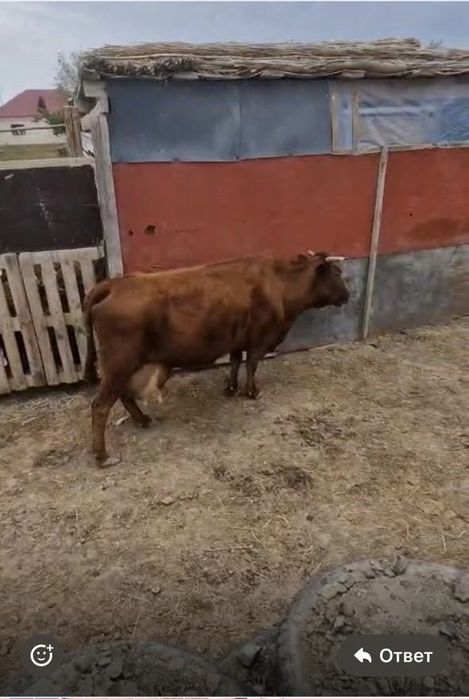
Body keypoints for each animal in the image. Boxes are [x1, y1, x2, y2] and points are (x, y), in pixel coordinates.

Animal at [84, 252, 349, 465]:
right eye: (337, 272)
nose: (348, 295)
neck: (279, 282)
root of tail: (113, 284)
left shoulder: (237, 339)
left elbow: (235, 361)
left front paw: (230, 388)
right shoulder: (259, 339)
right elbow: (252, 364)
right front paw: (251, 391)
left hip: (124, 365)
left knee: (124, 395)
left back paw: (142, 420)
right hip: (119, 362)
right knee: (101, 406)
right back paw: (103, 457)